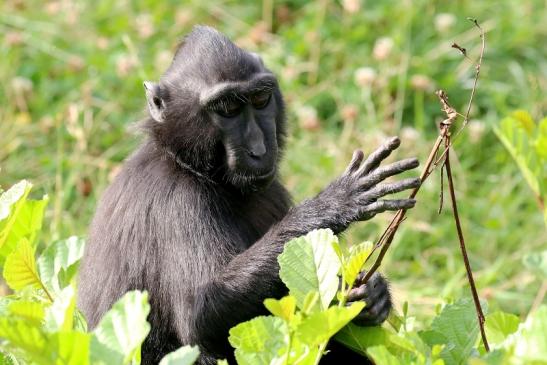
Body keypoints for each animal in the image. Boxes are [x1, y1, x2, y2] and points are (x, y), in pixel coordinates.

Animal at [77, 26, 420, 364]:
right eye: (228, 109)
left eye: (261, 99)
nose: (259, 148)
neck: (188, 164)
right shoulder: (176, 202)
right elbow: (201, 310)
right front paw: (334, 204)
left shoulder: (273, 190)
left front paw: (371, 294)